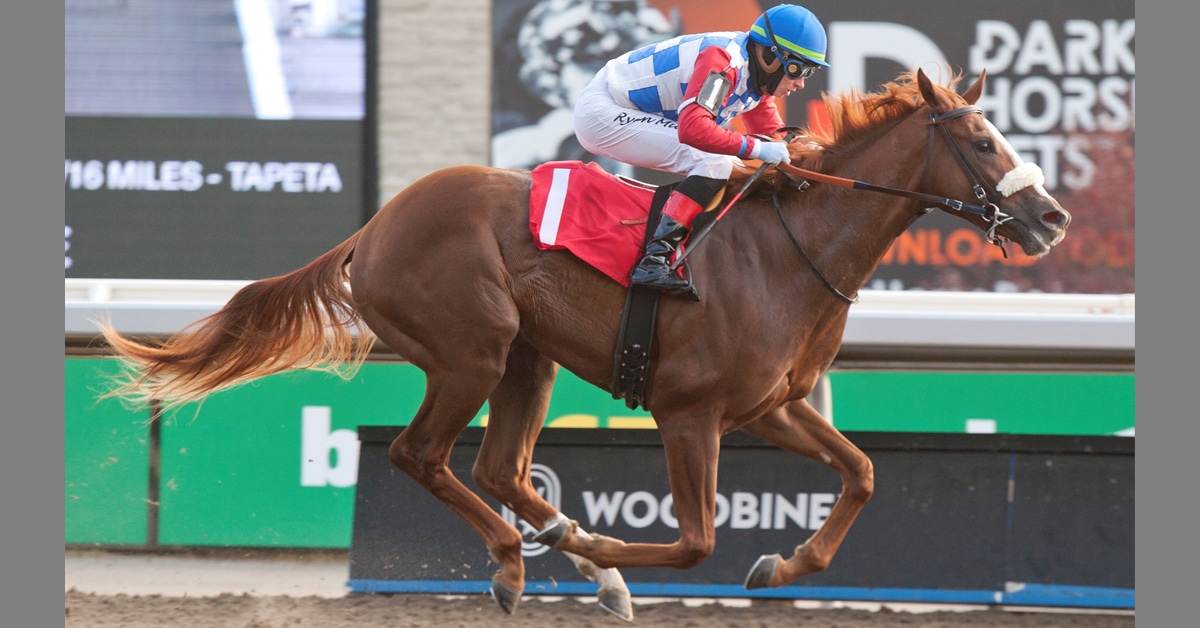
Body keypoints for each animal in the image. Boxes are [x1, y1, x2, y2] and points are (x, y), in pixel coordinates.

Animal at [97, 68, 1070, 622]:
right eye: (982, 140)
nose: (1052, 216)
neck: (788, 251)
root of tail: (372, 228)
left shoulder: (772, 406)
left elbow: (862, 472)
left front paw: (784, 563)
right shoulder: (689, 413)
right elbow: (694, 541)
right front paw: (613, 557)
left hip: (529, 357)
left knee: (498, 468)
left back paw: (562, 548)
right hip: (473, 348)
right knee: (421, 455)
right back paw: (518, 564)